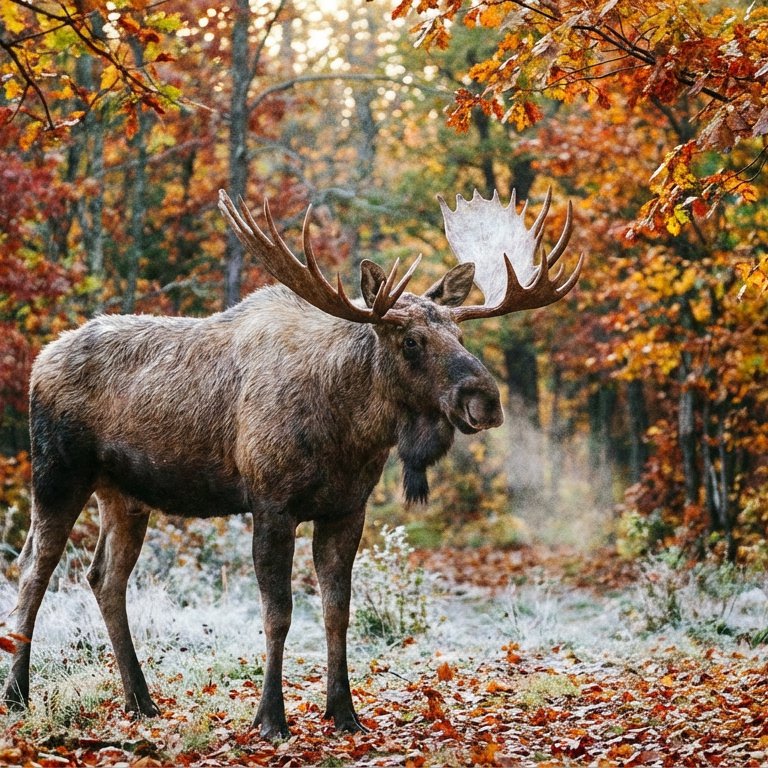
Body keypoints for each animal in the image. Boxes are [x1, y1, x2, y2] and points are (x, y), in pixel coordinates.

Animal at [2, 187, 582, 738]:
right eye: (411, 340)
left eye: (460, 335)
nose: (486, 400)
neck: (348, 434)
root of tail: (40, 360)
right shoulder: (271, 503)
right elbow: (278, 614)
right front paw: (271, 718)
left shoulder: (346, 509)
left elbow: (337, 611)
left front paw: (344, 713)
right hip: (57, 473)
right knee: (33, 567)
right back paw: (19, 694)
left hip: (124, 494)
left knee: (104, 577)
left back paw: (140, 700)